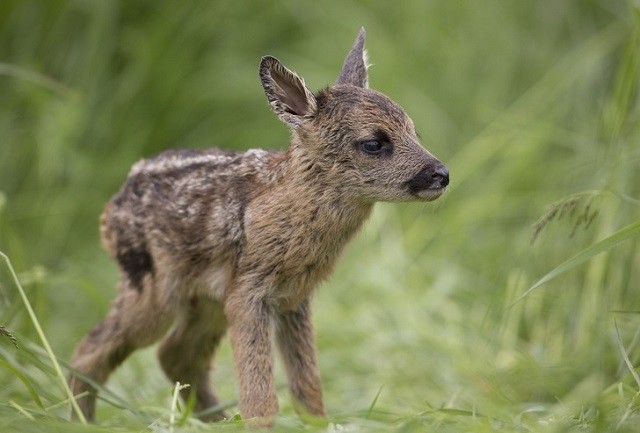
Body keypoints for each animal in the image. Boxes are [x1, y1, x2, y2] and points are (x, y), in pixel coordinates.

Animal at [69, 27, 450, 426]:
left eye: (413, 131)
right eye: (374, 143)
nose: (441, 174)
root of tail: (110, 210)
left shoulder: (294, 297)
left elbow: (308, 389)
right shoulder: (249, 291)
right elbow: (260, 397)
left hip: (205, 300)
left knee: (175, 354)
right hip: (153, 287)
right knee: (91, 349)